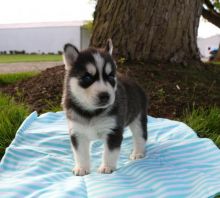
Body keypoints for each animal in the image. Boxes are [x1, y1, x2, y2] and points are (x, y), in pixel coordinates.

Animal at [62, 39, 148, 176]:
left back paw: (138, 153)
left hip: (138, 118)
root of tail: (134, 82)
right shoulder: (77, 132)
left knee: (141, 136)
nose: (105, 96)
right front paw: (82, 167)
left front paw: (107, 167)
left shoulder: (113, 130)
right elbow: (80, 154)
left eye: (111, 77)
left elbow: (110, 153)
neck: (91, 112)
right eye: (87, 77)